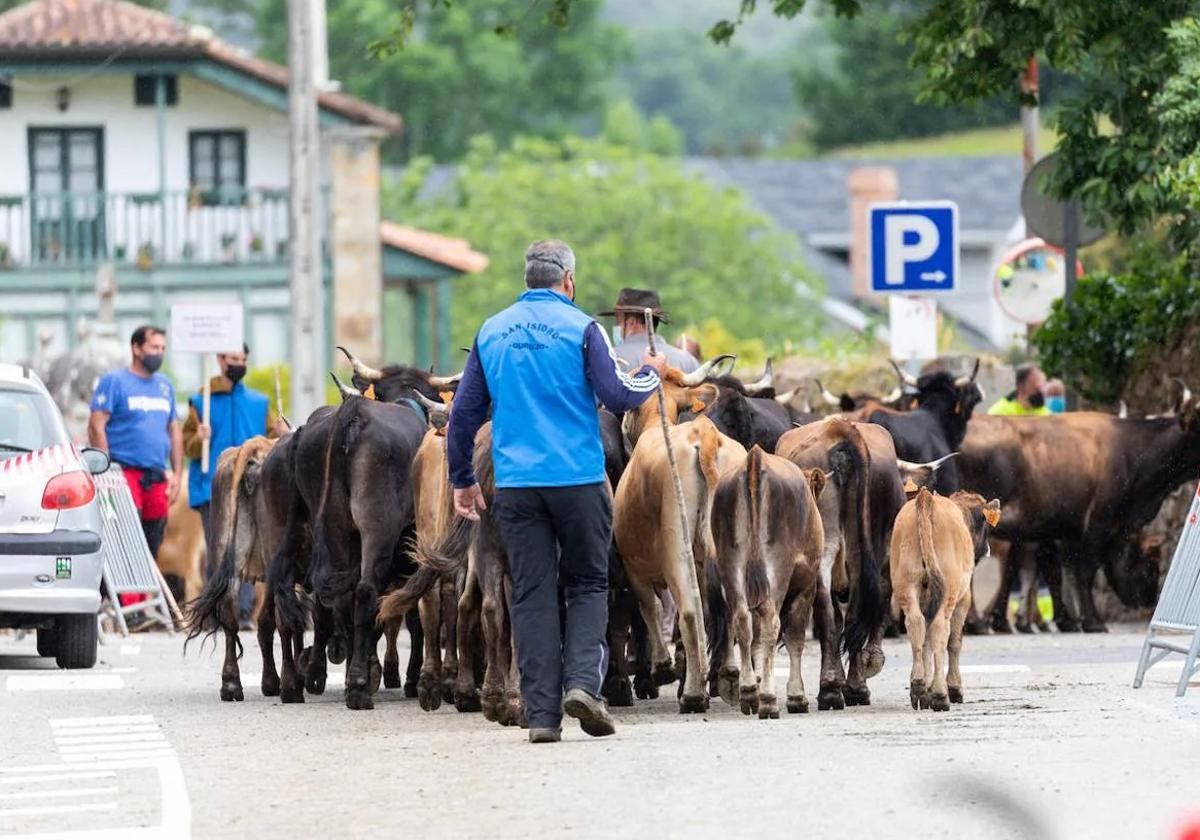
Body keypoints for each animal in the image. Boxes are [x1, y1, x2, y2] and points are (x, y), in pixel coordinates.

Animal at [705, 444, 830, 720]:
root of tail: (755, 459)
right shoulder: (806, 587)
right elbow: (794, 637)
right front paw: (796, 696)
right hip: (777, 572)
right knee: (772, 624)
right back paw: (769, 700)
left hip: (732, 567)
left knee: (742, 622)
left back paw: (749, 692)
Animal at [892, 489, 1003, 710]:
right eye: (985, 525)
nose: (987, 548)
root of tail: (926, 498)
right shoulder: (964, 599)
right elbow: (954, 642)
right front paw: (954, 688)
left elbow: (926, 644)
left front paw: (926, 687)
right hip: (949, 591)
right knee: (940, 629)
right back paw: (941, 694)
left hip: (906, 584)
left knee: (916, 624)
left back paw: (918, 687)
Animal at [955, 391, 1200, 633]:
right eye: (1151, 565)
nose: (1150, 600)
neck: (1130, 451)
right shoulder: (1097, 523)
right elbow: (1083, 571)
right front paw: (1092, 621)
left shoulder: (1063, 531)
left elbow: (1061, 572)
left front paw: (1069, 619)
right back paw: (977, 622)